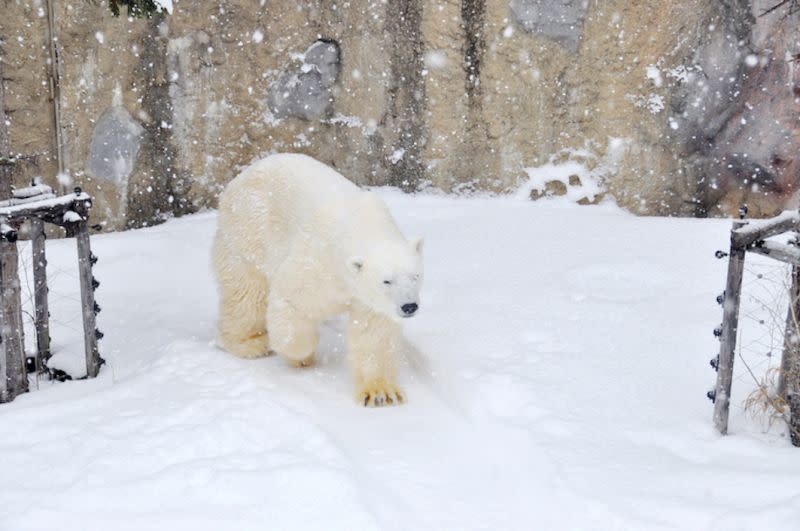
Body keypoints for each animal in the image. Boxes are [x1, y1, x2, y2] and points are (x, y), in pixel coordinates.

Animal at [212, 153, 424, 408]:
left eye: (416, 275)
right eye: (386, 281)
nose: (409, 306)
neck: (358, 223)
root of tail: (238, 179)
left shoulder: (368, 297)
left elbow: (374, 331)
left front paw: (380, 392)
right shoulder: (317, 261)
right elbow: (292, 301)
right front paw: (302, 356)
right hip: (247, 230)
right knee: (247, 293)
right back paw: (250, 343)